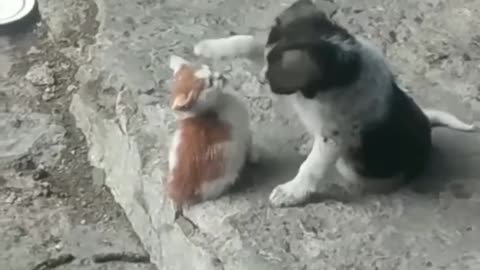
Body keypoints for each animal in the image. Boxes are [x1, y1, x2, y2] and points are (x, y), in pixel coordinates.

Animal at [166, 54, 256, 219]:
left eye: (209, 69)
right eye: (210, 83)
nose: (220, 75)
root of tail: (180, 192)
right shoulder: (243, 130)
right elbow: (250, 143)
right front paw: (254, 156)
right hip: (225, 174)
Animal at [192, 0, 476, 207]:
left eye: (272, 76)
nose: (262, 78)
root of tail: (427, 123)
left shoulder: (334, 138)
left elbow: (311, 167)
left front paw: (291, 192)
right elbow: (251, 42)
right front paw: (208, 47)